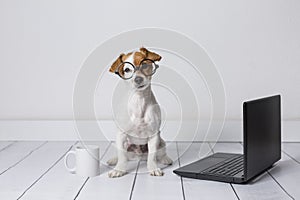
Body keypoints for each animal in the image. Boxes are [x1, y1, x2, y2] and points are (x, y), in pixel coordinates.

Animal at [107, 47, 173, 178]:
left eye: (144, 65)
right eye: (127, 69)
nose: (138, 79)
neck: (139, 101)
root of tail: (138, 156)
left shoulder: (154, 136)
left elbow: (152, 157)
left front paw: (153, 168)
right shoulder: (121, 135)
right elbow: (122, 157)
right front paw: (119, 169)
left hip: (161, 142)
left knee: (161, 153)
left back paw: (165, 159)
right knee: (123, 156)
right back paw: (114, 160)